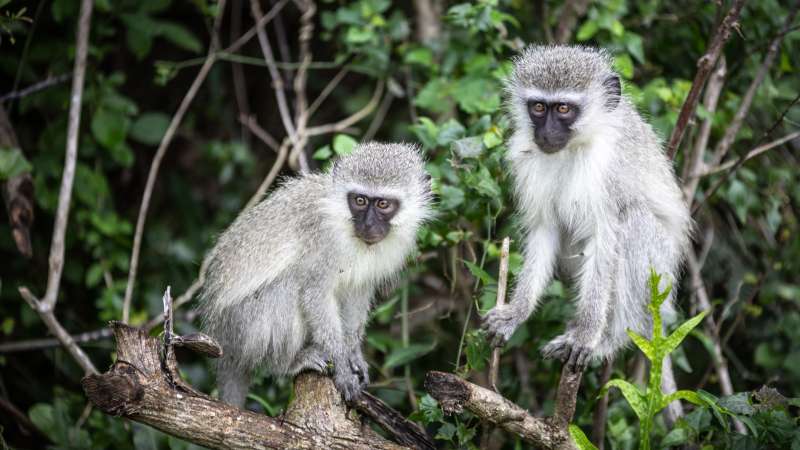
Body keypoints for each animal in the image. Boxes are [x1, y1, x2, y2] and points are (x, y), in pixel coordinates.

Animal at [199, 142, 432, 407]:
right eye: (360, 200)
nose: (368, 225)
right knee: (289, 285)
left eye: (383, 204)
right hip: (240, 330)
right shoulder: (323, 242)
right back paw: (287, 364)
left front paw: (352, 353)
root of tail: (221, 341)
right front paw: (341, 367)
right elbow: (315, 293)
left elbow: (355, 295)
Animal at [482, 45, 692, 374]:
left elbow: (605, 241)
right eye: (538, 107)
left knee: (634, 221)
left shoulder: (607, 174)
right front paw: (516, 312)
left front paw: (585, 337)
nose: (546, 134)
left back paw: (611, 339)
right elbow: (545, 229)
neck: (573, 148)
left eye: (563, 109)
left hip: (662, 279)